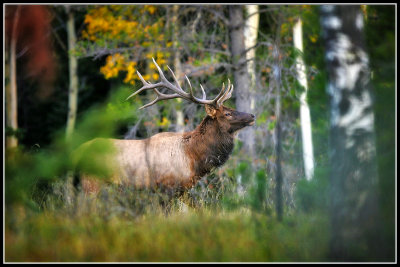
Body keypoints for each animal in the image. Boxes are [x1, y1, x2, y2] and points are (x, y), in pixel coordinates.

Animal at [74, 58, 255, 195]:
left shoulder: (182, 190)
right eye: (227, 113)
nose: (252, 116)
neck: (193, 158)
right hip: (92, 184)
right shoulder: (166, 187)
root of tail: (77, 152)